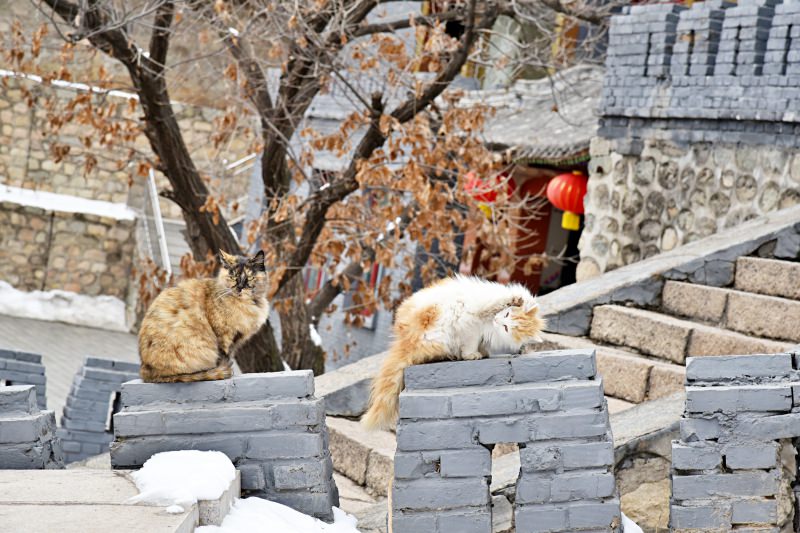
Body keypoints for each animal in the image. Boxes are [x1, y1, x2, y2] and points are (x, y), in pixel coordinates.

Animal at [139, 249, 270, 382]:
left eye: (250, 277)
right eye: (232, 276)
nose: (240, 288)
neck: (247, 305)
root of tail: (146, 370)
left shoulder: (235, 340)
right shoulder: (223, 337)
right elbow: (223, 357)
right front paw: (225, 370)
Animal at [360, 274, 544, 428]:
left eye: (506, 328)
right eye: (506, 315)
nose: (498, 321)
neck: (490, 324)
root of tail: (406, 339)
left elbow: (480, 343)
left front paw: (483, 352)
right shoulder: (472, 321)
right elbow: (473, 338)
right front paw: (472, 355)